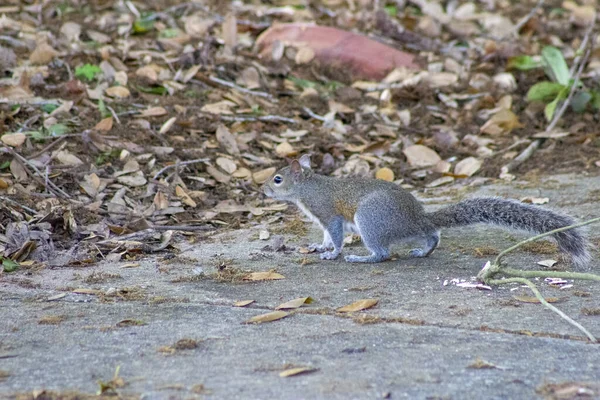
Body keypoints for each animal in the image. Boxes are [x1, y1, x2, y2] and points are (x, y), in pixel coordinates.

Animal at [262, 155, 592, 270]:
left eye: (277, 179)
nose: (262, 189)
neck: (308, 188)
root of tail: (417, 216)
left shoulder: (328, 213)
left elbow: (336, 235)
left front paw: (333, 253)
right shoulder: (323, 220)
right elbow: (326, 236)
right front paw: (320, 246)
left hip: (369, 220)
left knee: (383, 253)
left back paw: (363, 258)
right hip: (410, 229)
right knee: (432, 234)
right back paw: (424, 250)